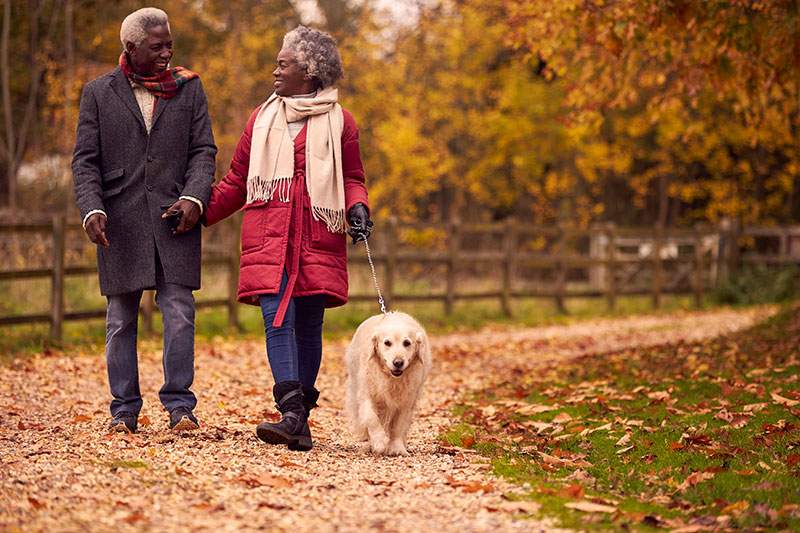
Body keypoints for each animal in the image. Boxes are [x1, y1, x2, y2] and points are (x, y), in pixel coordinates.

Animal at [344, 310, 432, 456]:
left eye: (407, 343)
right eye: (387, 343)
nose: (398, 363)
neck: (392, 379)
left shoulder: (407, 401)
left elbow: (398, 425)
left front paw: (397, 447)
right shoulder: (366, 395)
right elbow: (372, 419)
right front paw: (379, 442)